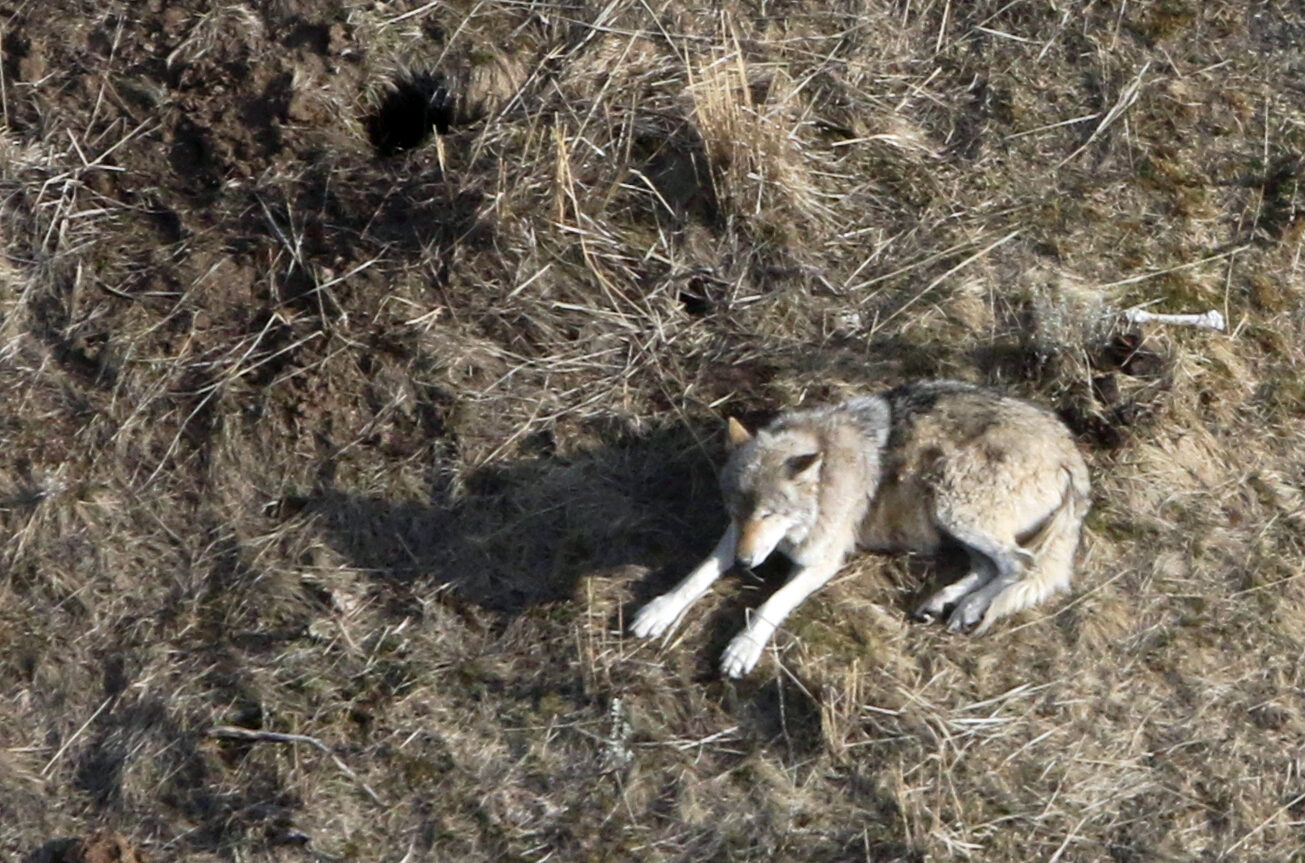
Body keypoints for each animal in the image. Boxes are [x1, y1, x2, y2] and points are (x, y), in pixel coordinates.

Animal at [630, 380, 1091, 678]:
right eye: (738, 511)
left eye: (769, 514)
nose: (745, 564)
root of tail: (1072, 453)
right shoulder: (736, 537)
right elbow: (700, 572)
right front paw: (659, 610)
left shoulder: (823, 562)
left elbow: (771, 604)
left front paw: (743, 648)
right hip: (947, 517)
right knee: (987, 567)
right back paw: (942, 602)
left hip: (952, 503)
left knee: (1020, 564)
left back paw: (970, 608)